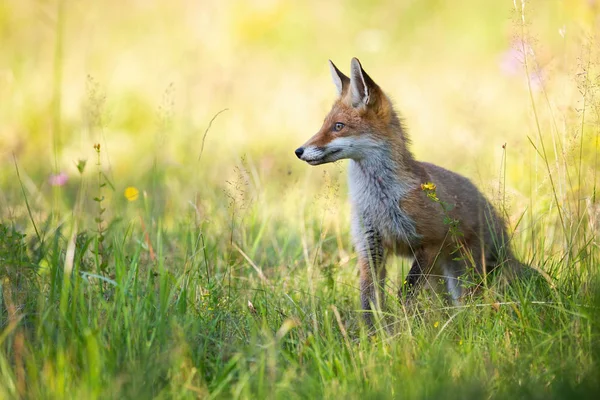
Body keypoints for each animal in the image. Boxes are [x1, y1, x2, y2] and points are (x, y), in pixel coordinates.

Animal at [296, 58, 524, 328]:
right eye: (324, 124)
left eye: (338, 127)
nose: (299, 151)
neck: (379, 200)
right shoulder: (370, 247)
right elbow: (369, 299)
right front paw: (372, 335)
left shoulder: (429, 243)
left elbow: (404, 293)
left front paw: (403, 329)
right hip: (442, 275)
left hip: (462, 274)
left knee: (469, 304)